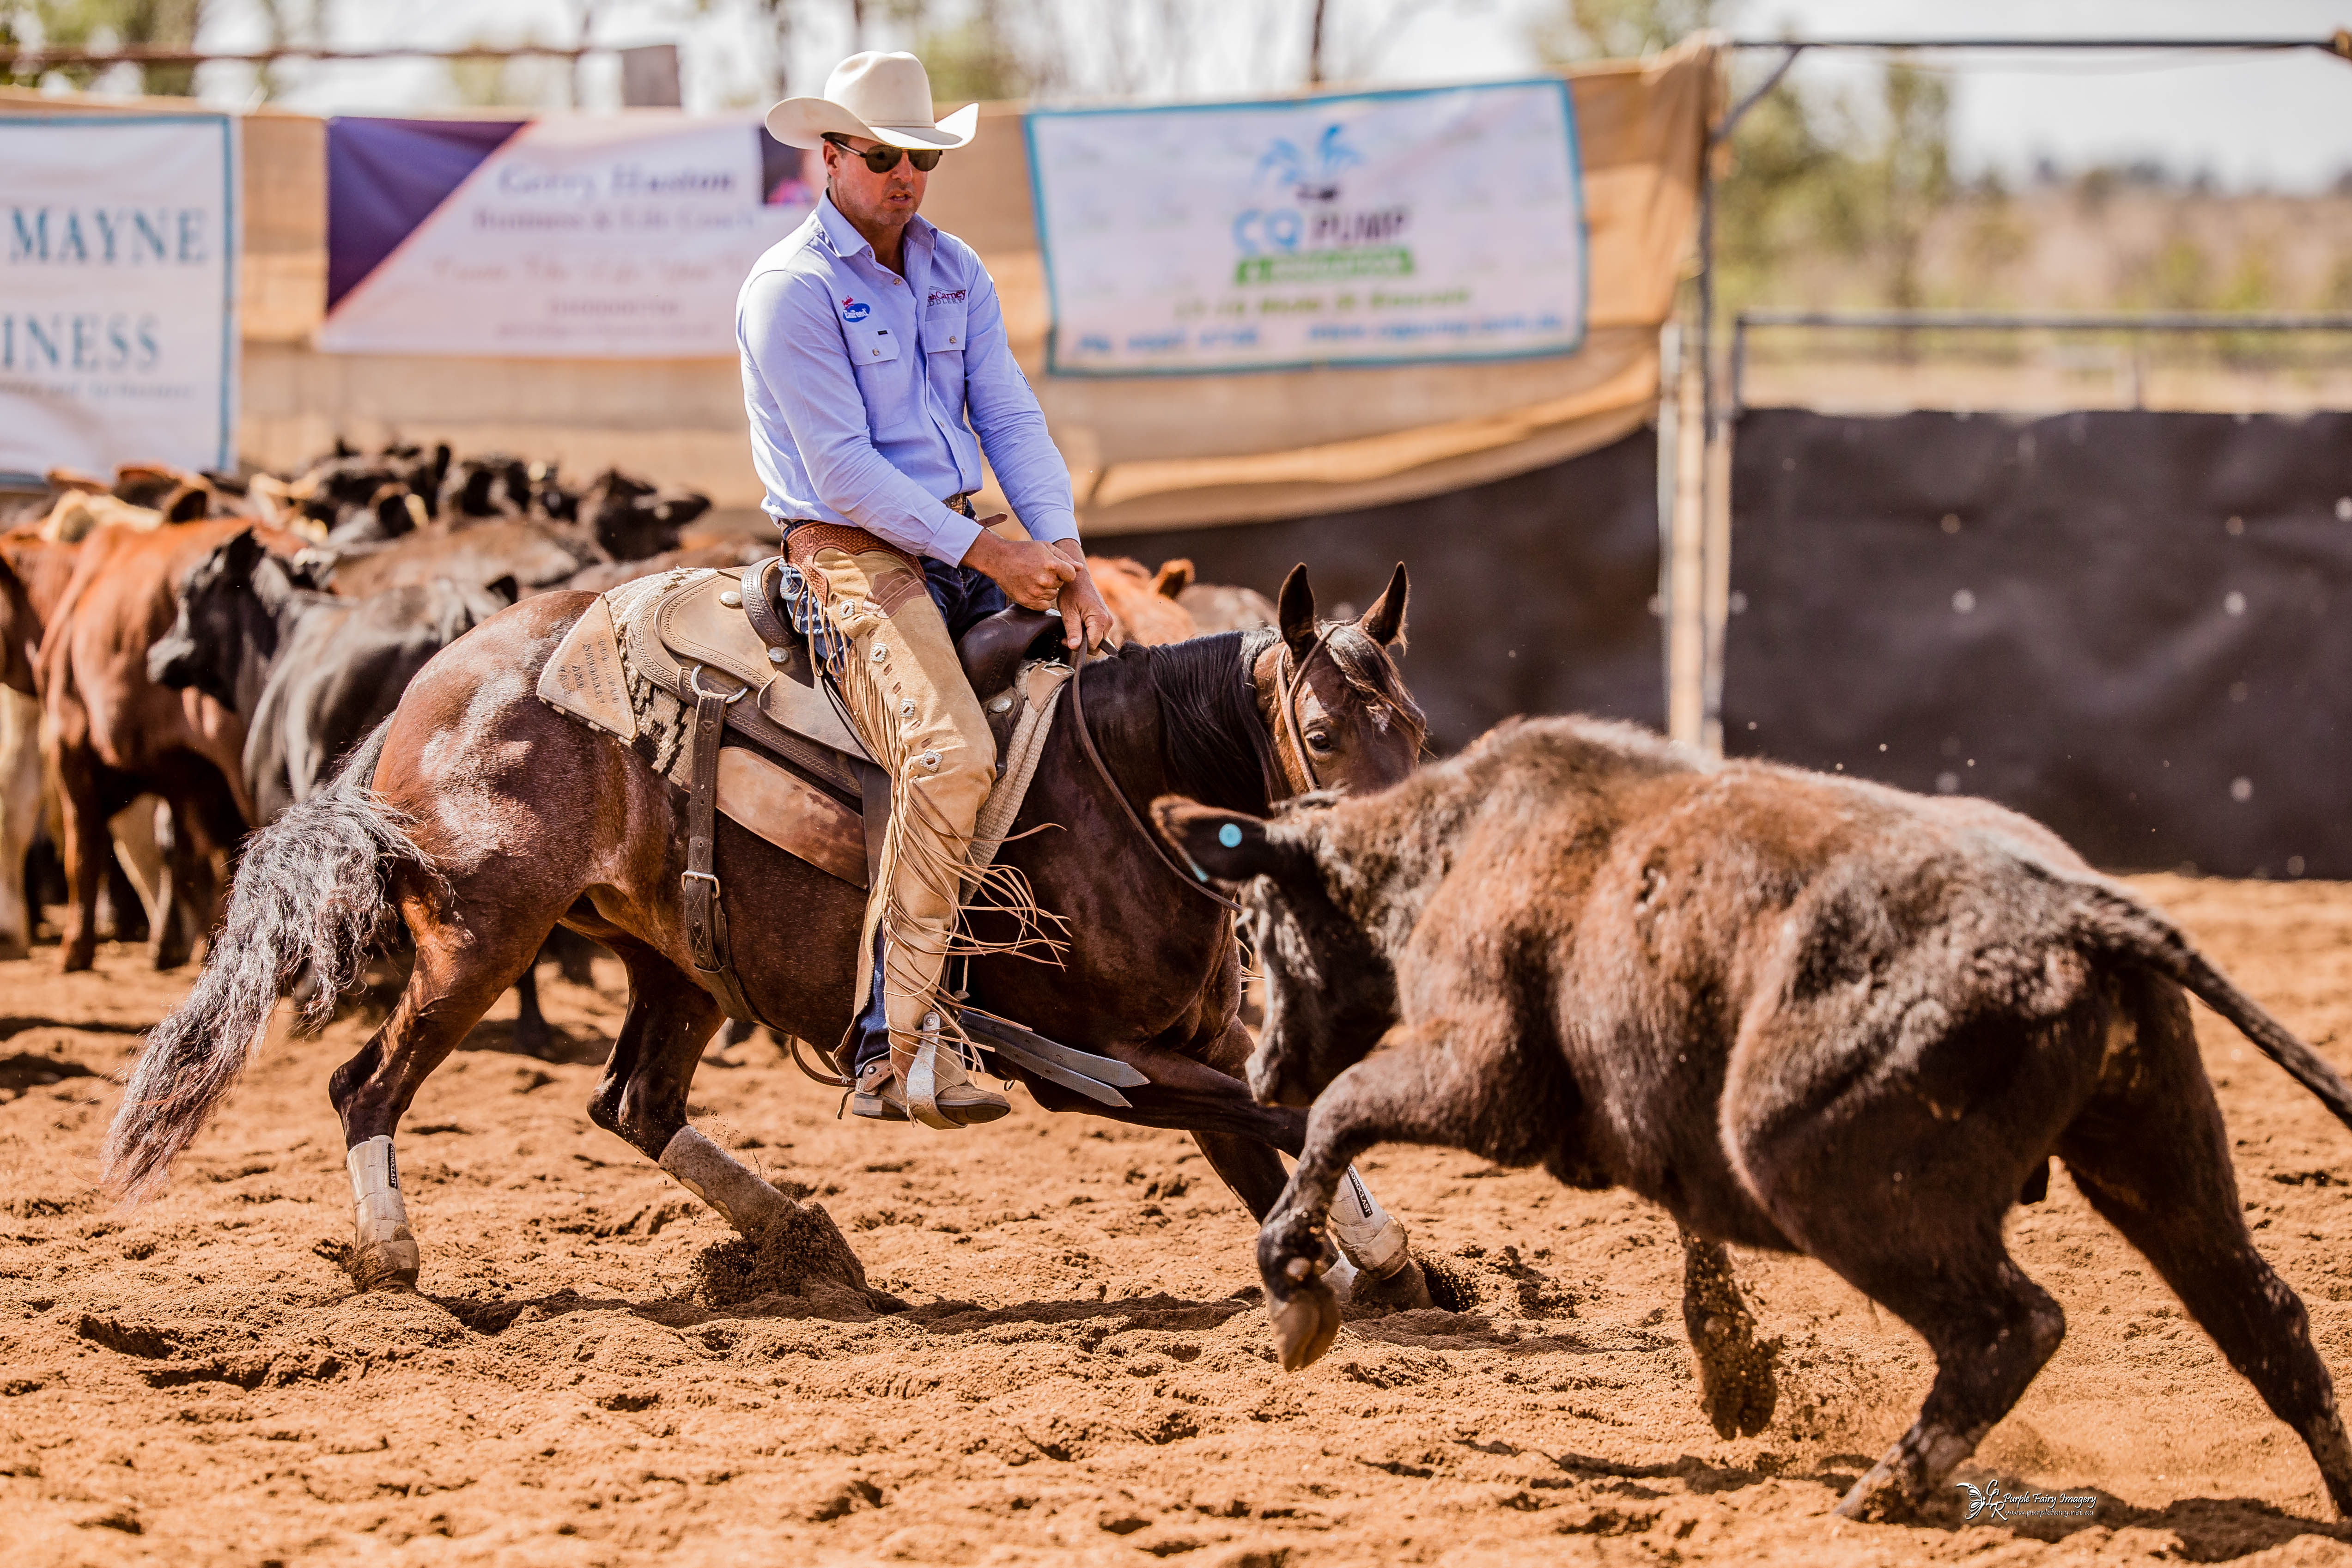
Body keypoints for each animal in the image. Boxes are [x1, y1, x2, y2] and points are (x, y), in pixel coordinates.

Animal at [106, 563, 1434, 1308]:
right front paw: (1388, 1257)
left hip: (676, 962)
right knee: (365, 1086)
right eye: (1321, 731)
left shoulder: (1187, 1048)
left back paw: (802, 1240)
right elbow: (1296, 1118)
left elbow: (1283, 1132)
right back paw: (390, 1258)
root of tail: (431, 689)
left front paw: (1383, 1263)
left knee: (634, 1103)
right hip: (478, 944)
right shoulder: (1100, 1067)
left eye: (1414, 725)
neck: (1120, 781)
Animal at [1154, 714, 2352, 1522]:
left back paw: (1882, 1490)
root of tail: (2075, 907)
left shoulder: (1484, 1075)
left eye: (1257, 922)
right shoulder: (1657, 1114)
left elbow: (1340, 1113)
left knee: (2011, 1325)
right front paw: (1735, 1372)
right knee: (2271, 1324)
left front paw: (1297, 1285)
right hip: (2156, 1150)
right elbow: (1692, 1231)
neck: (1456, 846)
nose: (1258, 1063)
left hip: (1821, 1167)